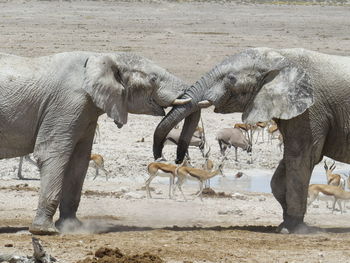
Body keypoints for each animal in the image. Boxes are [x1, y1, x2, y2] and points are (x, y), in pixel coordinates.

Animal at [0, 51, 191, 235]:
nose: (167, 159)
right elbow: (52, 154)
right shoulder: (66, 105)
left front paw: (72, 228)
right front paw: (44, 231)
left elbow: (79, 161)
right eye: (153, 79)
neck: (104, 57)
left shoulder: (86, 113)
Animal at [154, 47, 350, 233]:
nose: (174, 159)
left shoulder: (311, 111)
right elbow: (281, 172)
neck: (281, 56)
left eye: (231, 78)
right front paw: (283, 223)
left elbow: (301, 158)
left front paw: (292, 229)